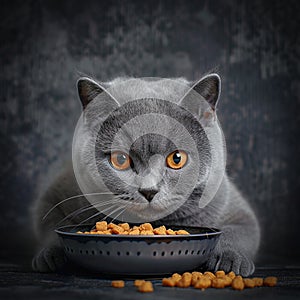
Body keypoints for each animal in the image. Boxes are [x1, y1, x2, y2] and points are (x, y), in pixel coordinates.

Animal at [31, 74, 258, 276]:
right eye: (120, 159)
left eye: (177, 158)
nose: (149, 191)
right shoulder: (57, 194)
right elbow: (51, 226)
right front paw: (50, 256)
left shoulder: (233, 206)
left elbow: (239, 231)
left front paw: (229, 260)